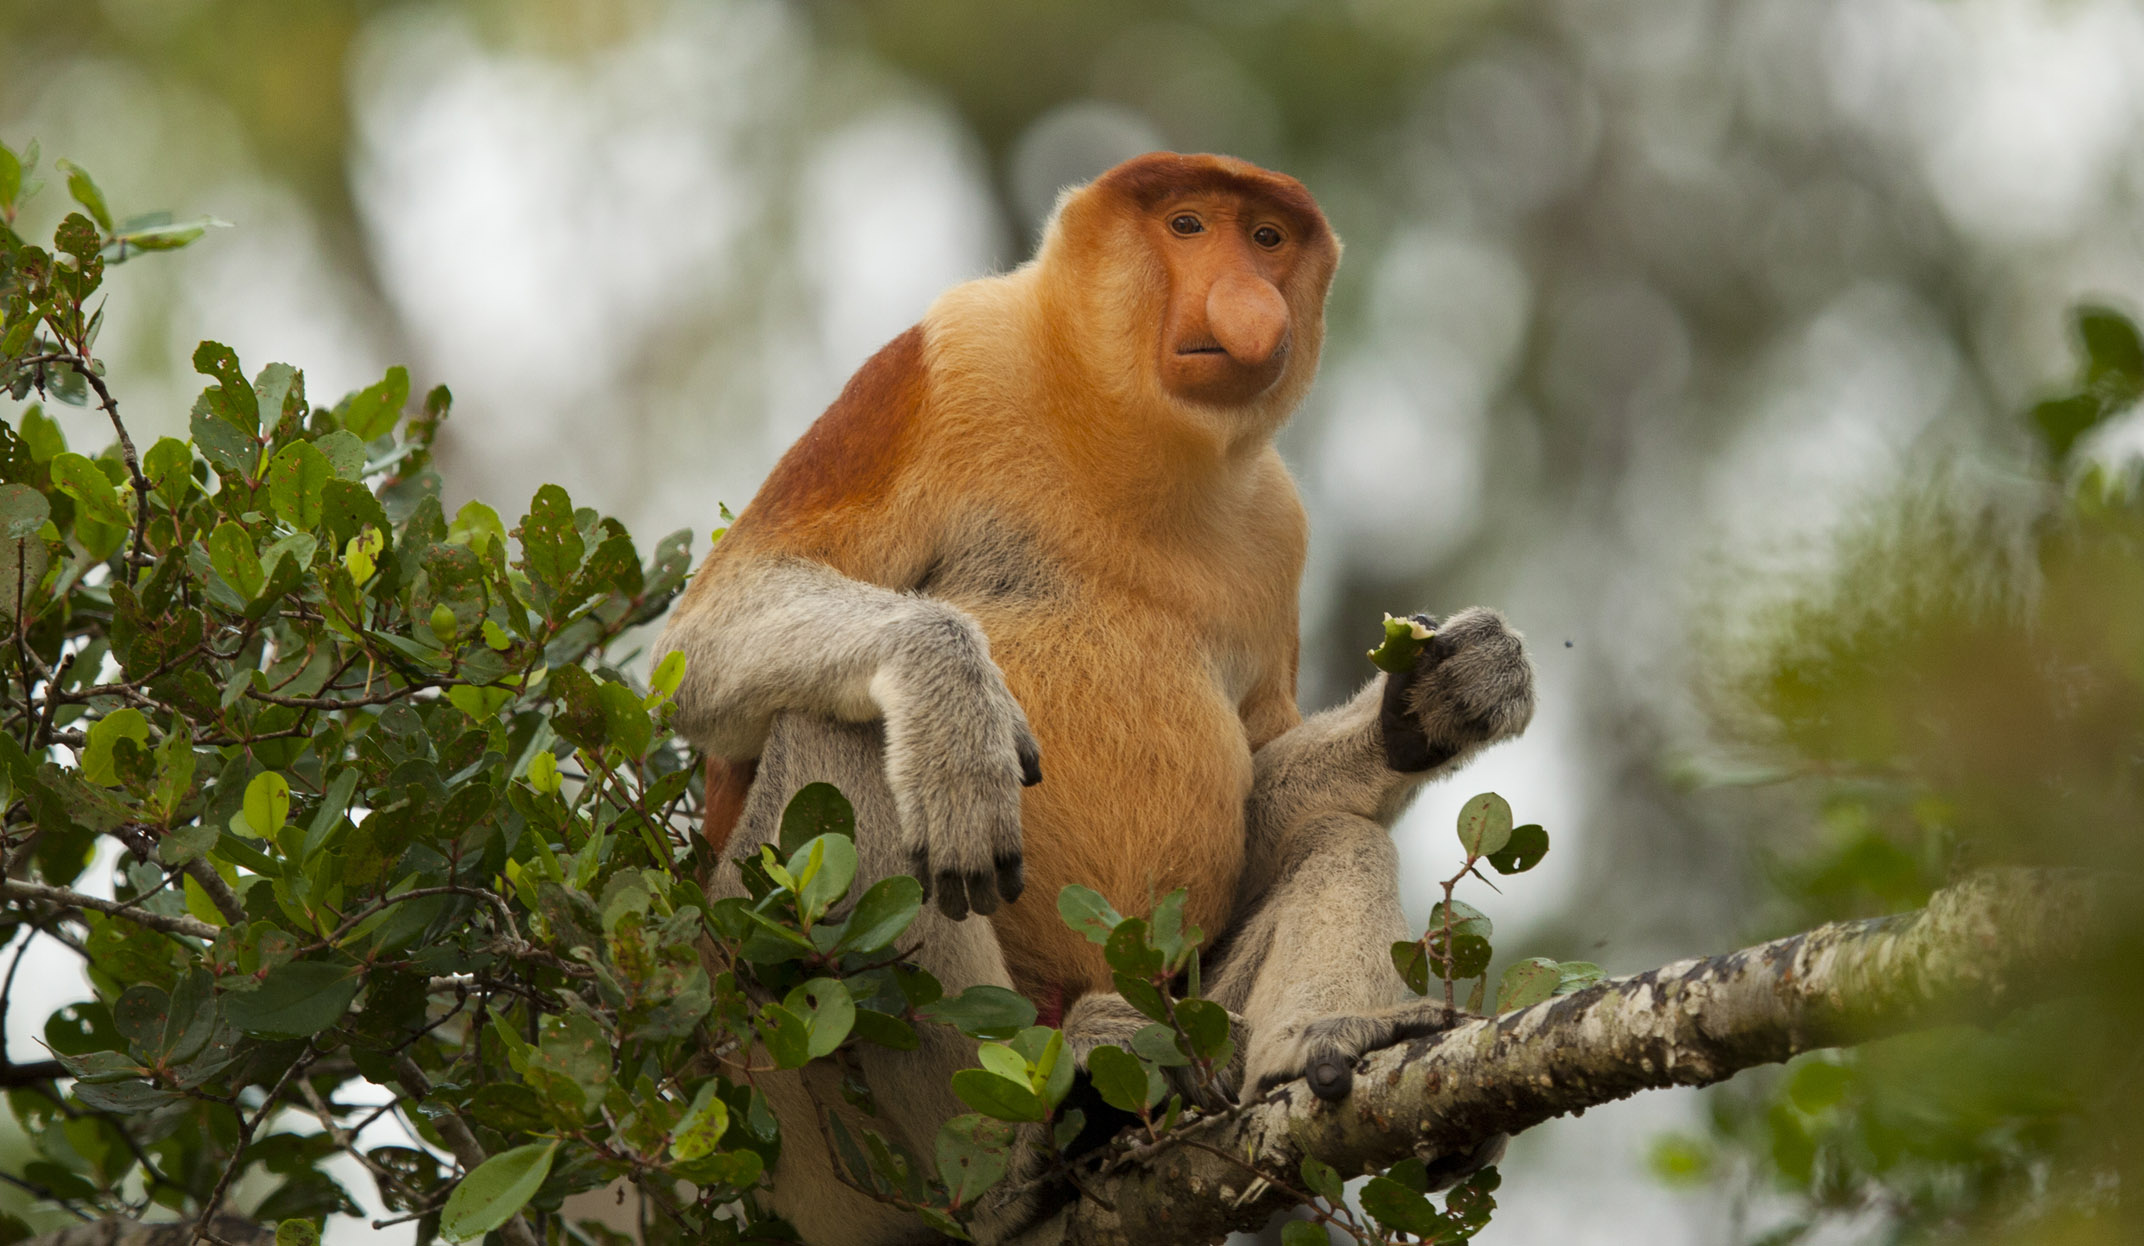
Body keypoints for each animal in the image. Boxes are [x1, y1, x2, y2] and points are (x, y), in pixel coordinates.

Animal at [654, 152, 1534, 1244]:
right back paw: (1016, 1163)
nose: (1248, 303)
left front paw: (1444, 690)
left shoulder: (1278, 527)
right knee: (838, 741)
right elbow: (707, 635)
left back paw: (1322, 1046)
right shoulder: (938, 367)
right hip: (791, 1106)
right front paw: (957, 711)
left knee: (1338, 838)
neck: (1132, 439)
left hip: (1190, 1017)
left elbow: (1260, 796)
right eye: (1188, 224)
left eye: (1266, 240)